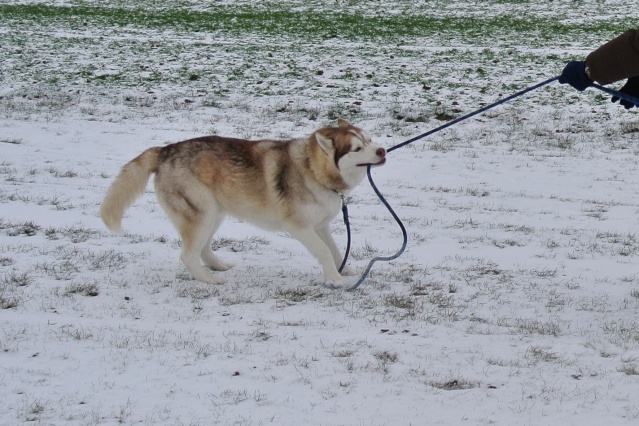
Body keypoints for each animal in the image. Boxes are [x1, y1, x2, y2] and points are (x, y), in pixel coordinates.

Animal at [101, 118, 384, 288]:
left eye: (369, 140)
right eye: (357, 149)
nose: (382, 150)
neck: (312, 169)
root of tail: (165, 149)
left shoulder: (320, 225)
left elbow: (335, 249)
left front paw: (344, 270)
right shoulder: (300, 227)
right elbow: (324, 251)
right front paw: (335, 280)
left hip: (214, 214)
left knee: (203, 249)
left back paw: (219, 267)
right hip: (202, 213)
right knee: (188, 255)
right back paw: (208, 280)